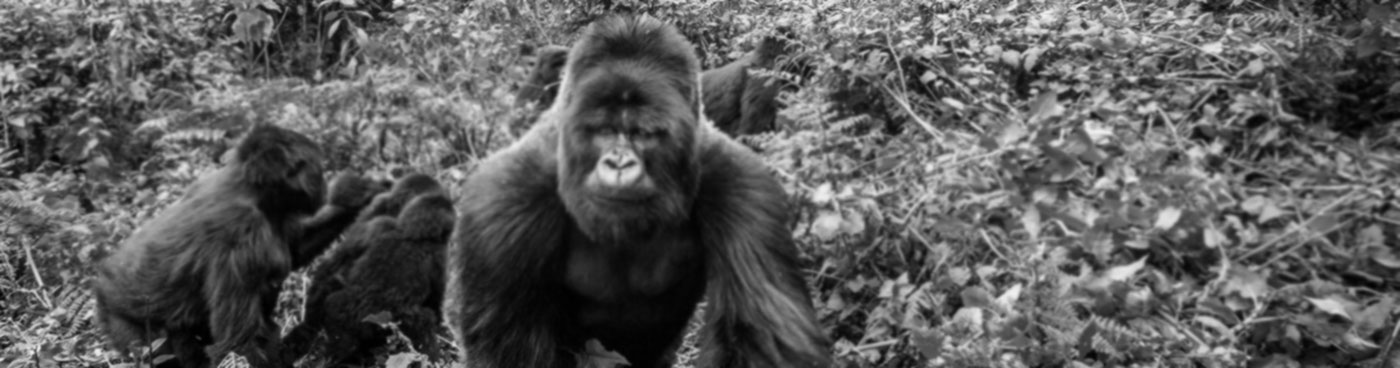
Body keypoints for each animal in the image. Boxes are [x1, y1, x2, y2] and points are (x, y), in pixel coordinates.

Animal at [93, 124, 383, 368]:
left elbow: (295, 250)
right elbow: (237, 343)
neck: (249, 189)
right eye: (317, 169)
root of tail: (101, 279)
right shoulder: (242, 236)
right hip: (123, 322)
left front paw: (357, 197)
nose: (323, 185)